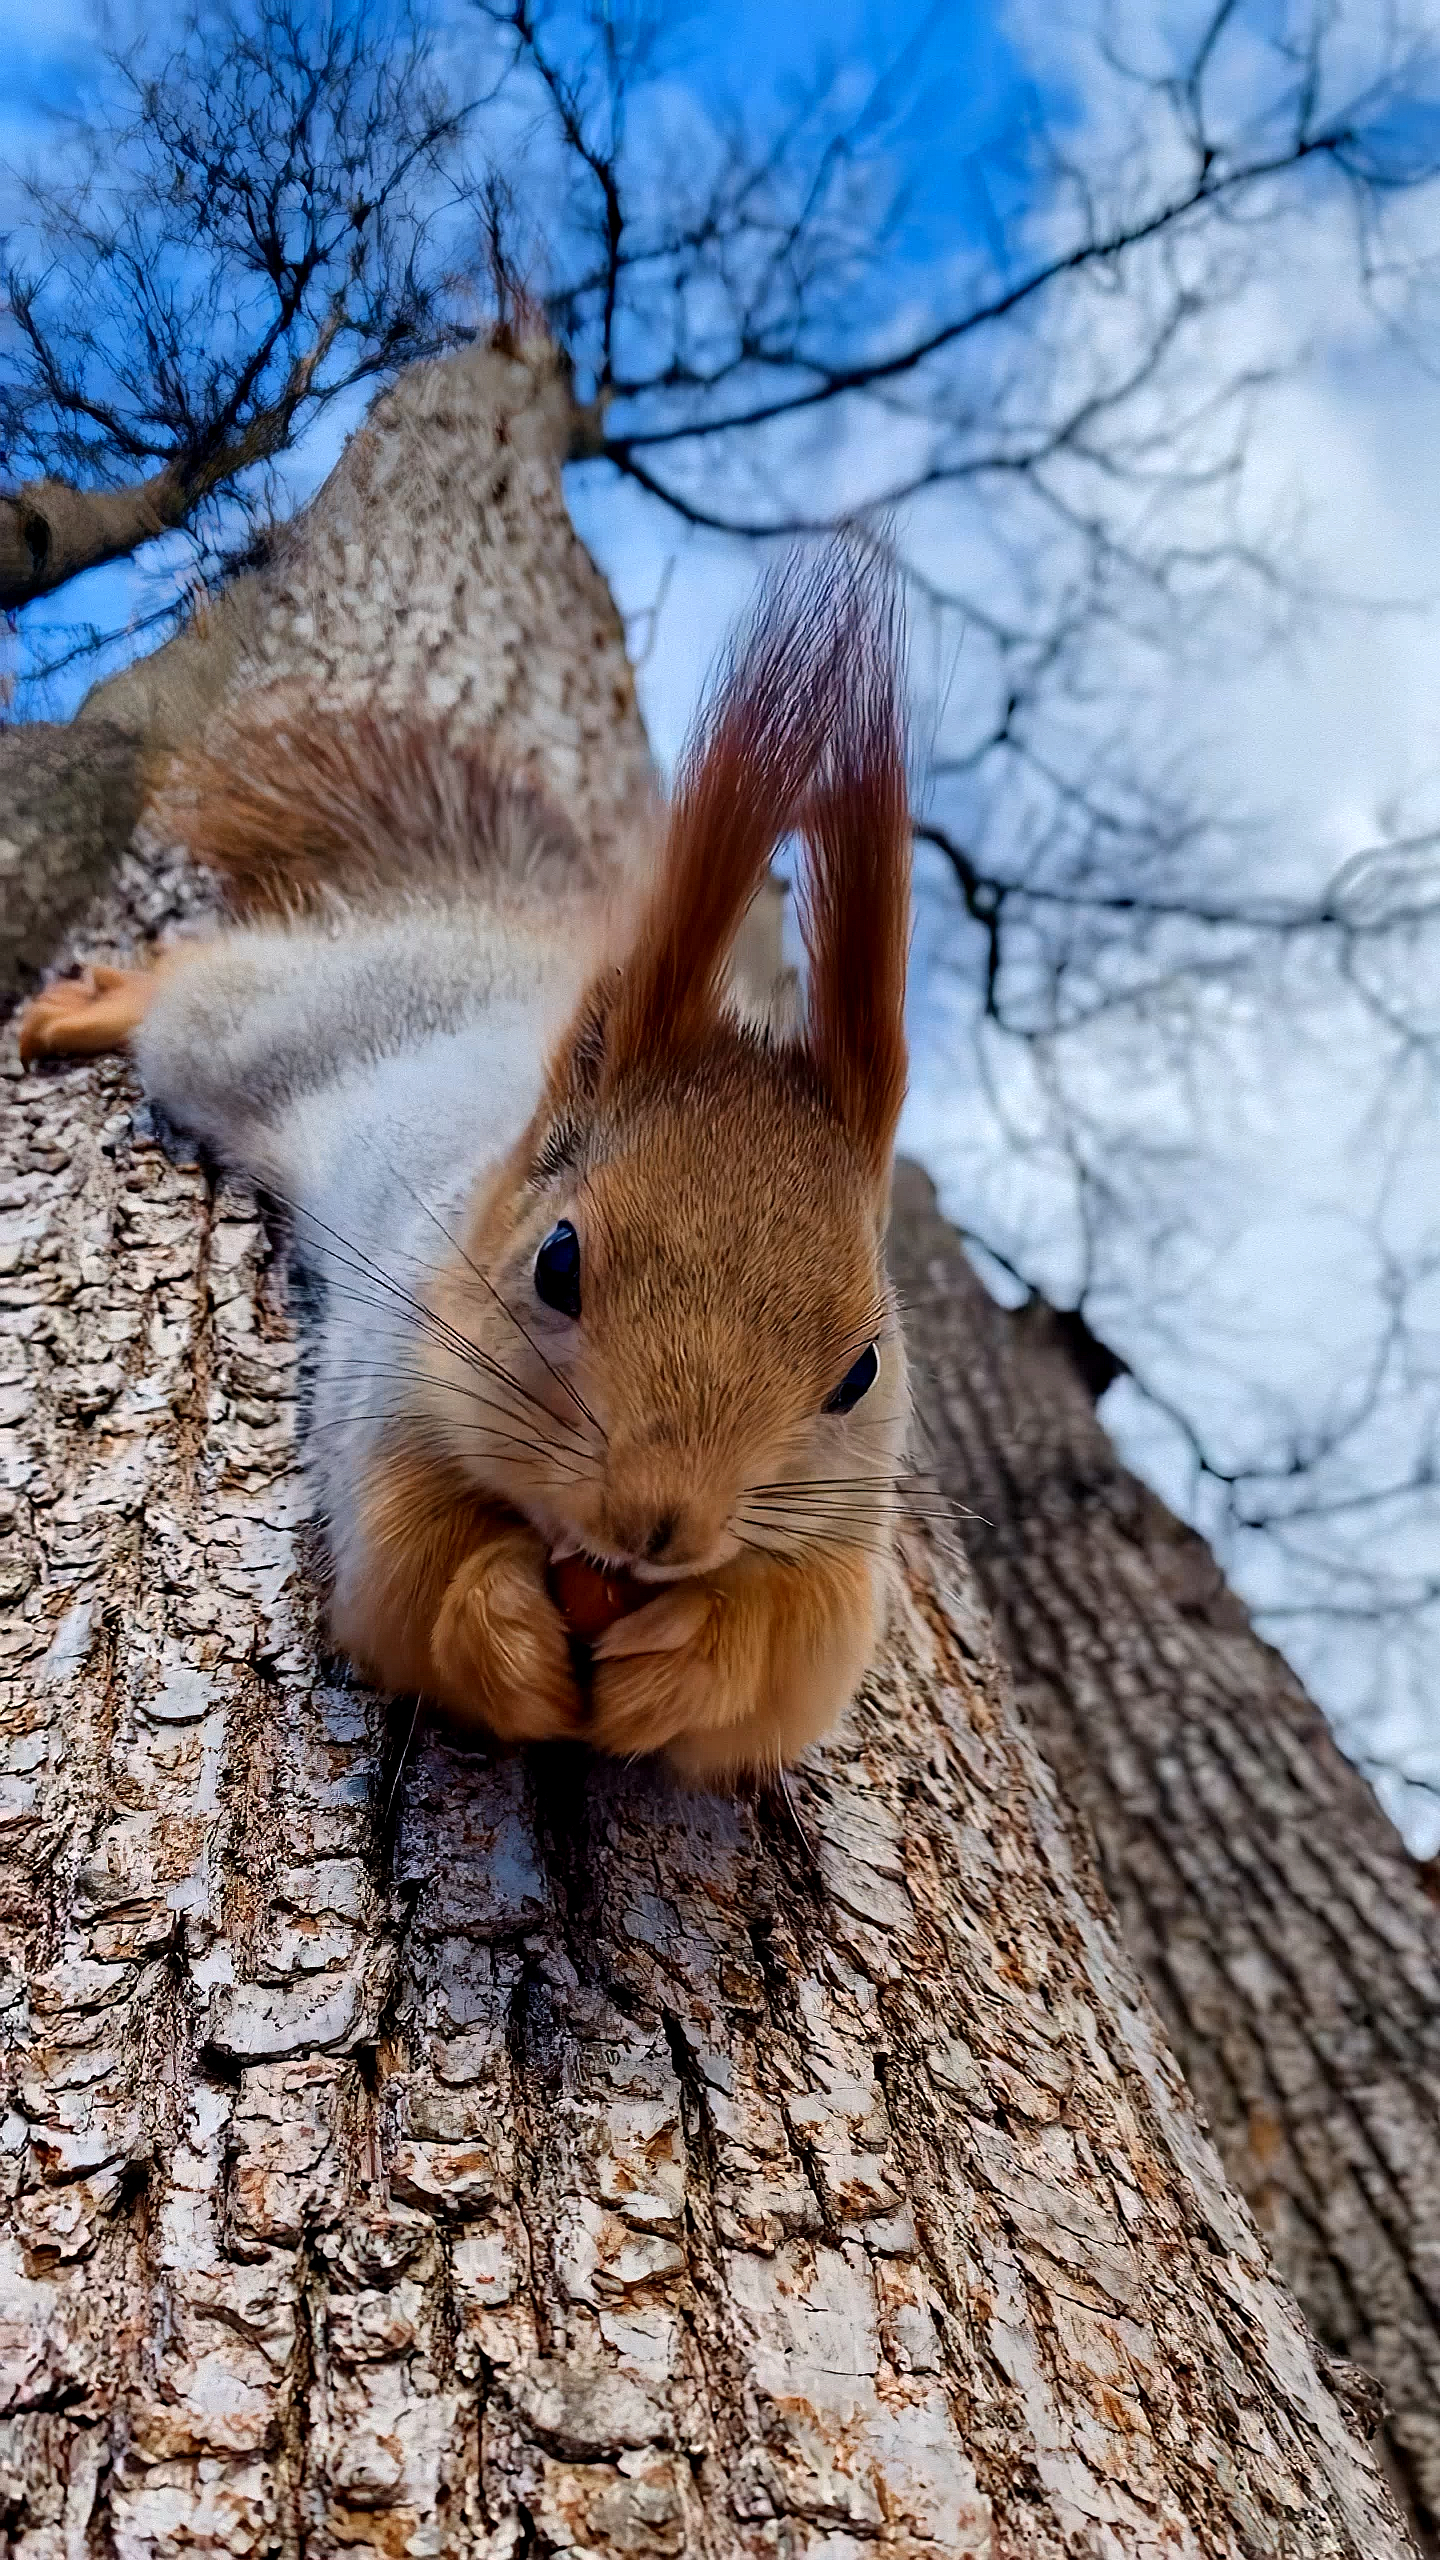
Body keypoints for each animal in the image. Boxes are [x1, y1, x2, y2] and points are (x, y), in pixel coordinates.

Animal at [22, 545, 907, 1781]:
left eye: (861, 1373)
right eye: (556, 1262)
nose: (659, 1526)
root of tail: (461, 919)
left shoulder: (843, 1556)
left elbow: (785, 1660)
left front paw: (687, 1657)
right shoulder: (391, 1397)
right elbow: (416, 1575)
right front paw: (508, 1631)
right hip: (247, 1034)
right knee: (193, 984)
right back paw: (96, 1003)